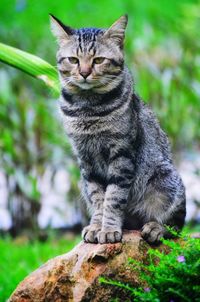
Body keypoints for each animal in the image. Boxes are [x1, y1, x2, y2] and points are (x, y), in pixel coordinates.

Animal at [50, 15, 186, 244]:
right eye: (74, 60)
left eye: (98, 60)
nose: (84, 73)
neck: (88, 108)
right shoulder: (85, 158)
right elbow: (98, 197)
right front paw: (97, 226)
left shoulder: (121, 154)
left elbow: (113, 198)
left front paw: (109, 229)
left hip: (166, 181)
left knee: (175, 226)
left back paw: (155, 228)